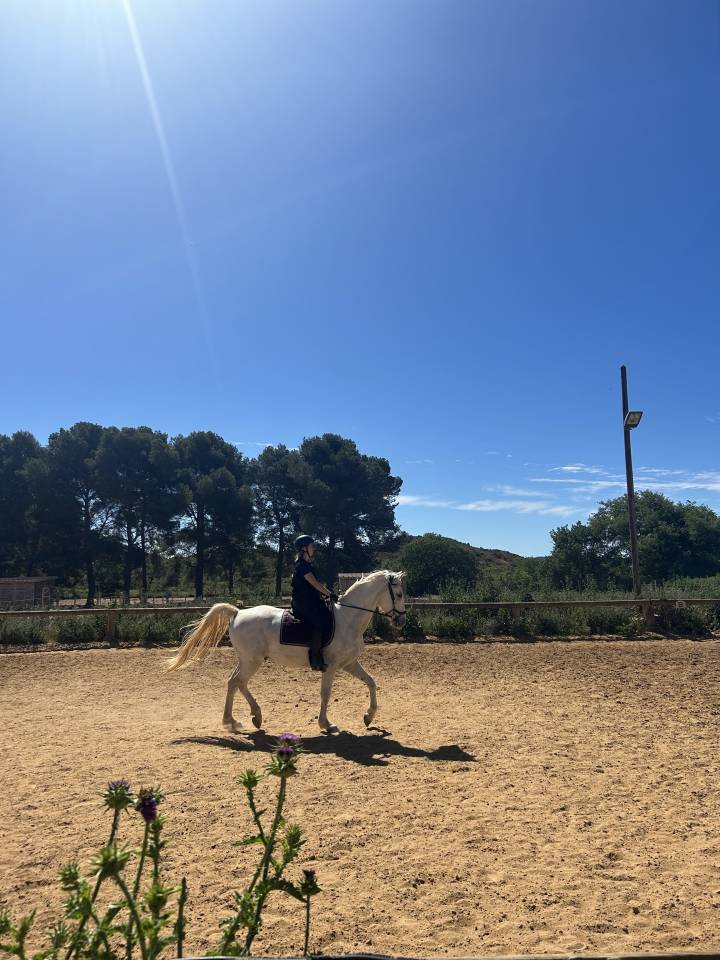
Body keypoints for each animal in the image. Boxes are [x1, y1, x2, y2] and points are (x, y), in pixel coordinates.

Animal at [166, 570, 407, 734]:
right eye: (399, 594)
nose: (401, 620)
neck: (348, 619)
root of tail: (237, 613)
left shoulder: (349, 663)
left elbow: (371, 682)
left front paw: (369, 716)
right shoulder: (331, 666)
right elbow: (326, 693)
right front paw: (326, 724)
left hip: (248, 660)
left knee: (236, 682)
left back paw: (251, 717)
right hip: (251, 661)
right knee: (235, 682)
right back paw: (232, 721)